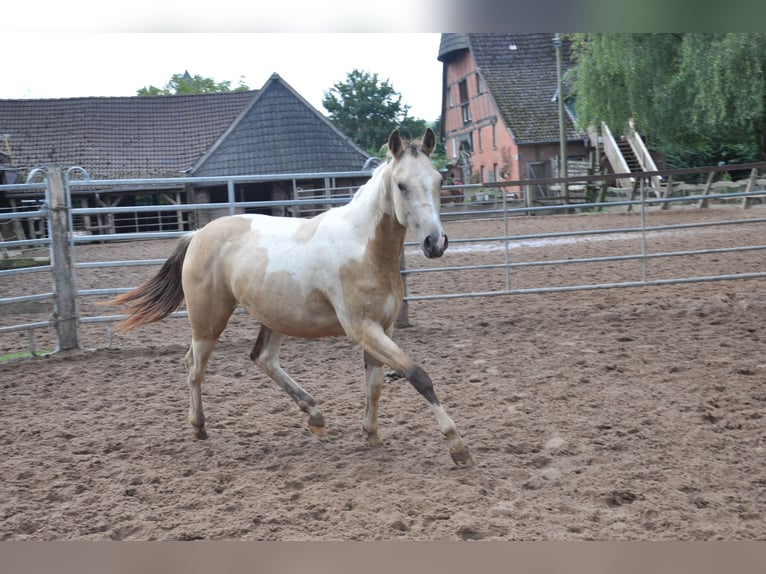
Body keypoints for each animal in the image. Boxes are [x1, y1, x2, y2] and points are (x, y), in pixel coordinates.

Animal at [108, 128, 474, 468]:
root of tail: (198, 234)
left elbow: (375, 383)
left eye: (439, 180)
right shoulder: (361, 328)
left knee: (262, 358)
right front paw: (458, 447)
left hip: (274, 316)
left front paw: (372, 435)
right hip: (208, 321)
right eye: (401, 185)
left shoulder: (383, 328)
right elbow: (417, 375)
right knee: (194, 366)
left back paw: (315, 415)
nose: (435, 242)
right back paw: (199, 427)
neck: (364, 249)